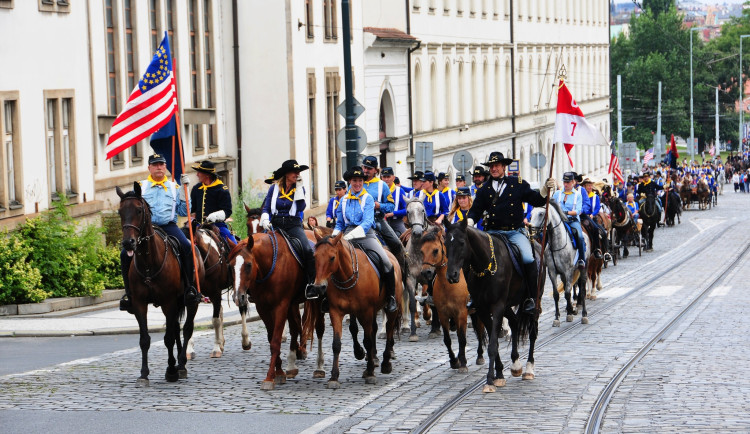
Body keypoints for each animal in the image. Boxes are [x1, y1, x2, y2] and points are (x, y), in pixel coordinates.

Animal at [183, 224, 235, 360]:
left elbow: (215, 321)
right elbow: (190, 322)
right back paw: (222, 343)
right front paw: (189, 350)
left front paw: (216, 349)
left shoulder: (215, 293)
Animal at [229, 229, 324, 392]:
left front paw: (269, 377)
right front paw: (279, 372)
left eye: (248, 265)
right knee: (295, 327)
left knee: (318, 329)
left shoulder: (280, 306)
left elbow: (275, 341)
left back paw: (319, 367)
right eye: (231, 266)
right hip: (293, 304)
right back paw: (293, 362)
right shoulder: (263, 308)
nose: (238, 297)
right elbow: (271, 338)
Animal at [312, 231, 406, 390]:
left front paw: (371, 373)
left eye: (332, 257)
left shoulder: (366, 311)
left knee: (389, 329)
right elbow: (337, 343)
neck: (346, 276)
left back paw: (385, 363)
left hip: (391, 308)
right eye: (315, 256)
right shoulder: (336, 312)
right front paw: (334, 377)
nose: (319, 287)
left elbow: (367, 341)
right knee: (374, 329)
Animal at [420, 225, 490, 372]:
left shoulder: (461, 313)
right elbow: (448, 339)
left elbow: (462, 338)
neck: (448, 285)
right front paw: (454, 361)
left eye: (435, 250)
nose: (426, 272)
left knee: (480, 330)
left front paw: (462, 363)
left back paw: (480, 356)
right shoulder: (443, 314)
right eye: (421, 251)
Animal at [444, 217, 536, 394]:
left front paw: (489, 380)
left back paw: (529, 368)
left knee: (533, 332)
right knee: (514, 322)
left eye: (461, 242)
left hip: (534, 299)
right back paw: (516, 364)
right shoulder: (483, 309)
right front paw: (499, 374)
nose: (451, 275)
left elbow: (493, 344)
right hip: (507, 306)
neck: (485, 266)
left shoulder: (497, 306)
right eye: (445, 243)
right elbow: (495, 343)